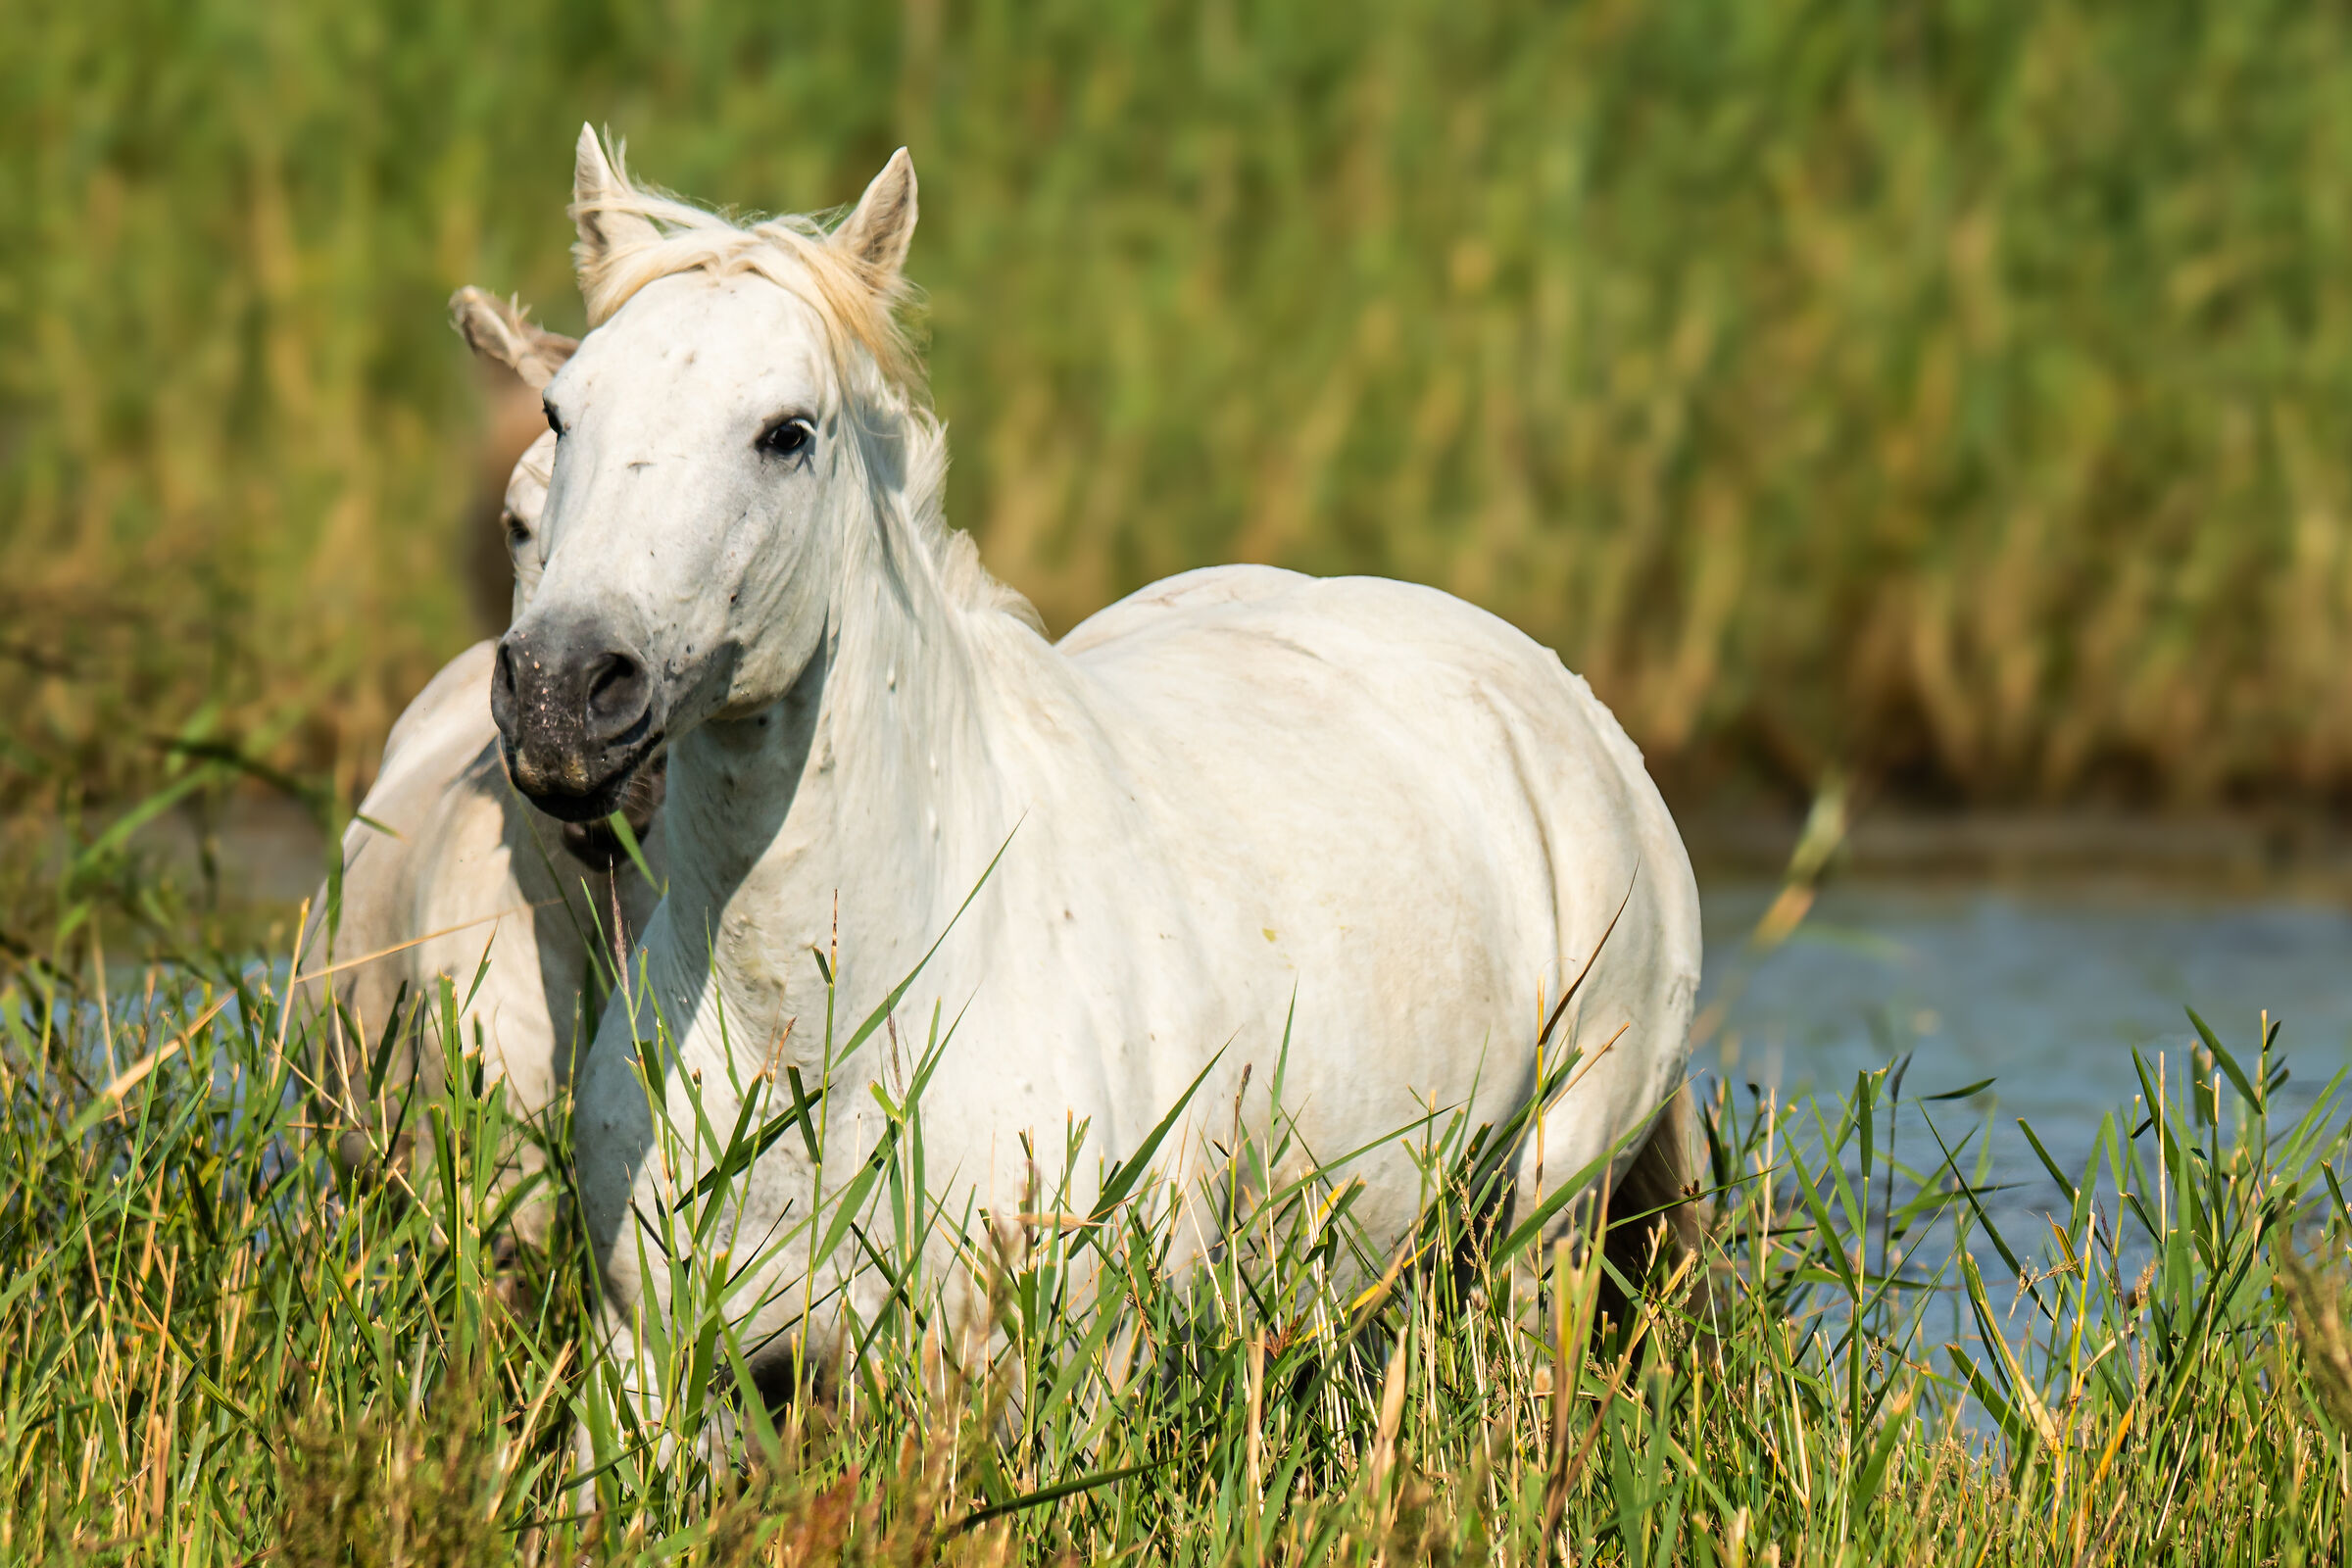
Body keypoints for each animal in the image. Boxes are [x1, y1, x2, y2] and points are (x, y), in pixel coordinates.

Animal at [499, 127, 1701, 1415]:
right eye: (561, 411)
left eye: (788, 431)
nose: (563, 691)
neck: (820, 1030)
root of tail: (1569, 708)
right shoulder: (651, 1366)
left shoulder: (1048, 1373)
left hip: (1550, 1223)